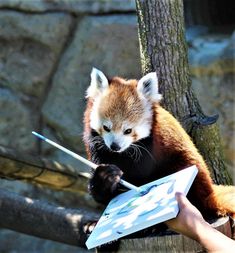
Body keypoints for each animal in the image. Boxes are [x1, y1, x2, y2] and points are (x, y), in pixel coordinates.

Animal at [83, 67, 234, 219]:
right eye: (106, 128)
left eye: (128, 130)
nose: (115, 146)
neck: (122, 154)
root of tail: (209, 193)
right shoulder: (96, 147)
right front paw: (106, 178)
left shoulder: (149, 149)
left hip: (185, 164)